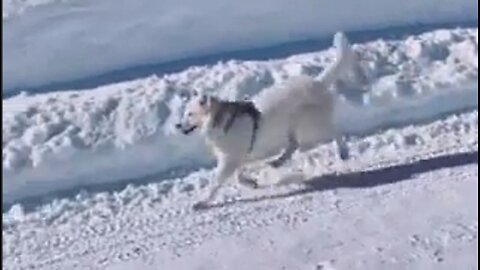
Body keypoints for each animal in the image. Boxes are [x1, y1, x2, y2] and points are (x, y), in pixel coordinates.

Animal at [177, 31, 360, 209]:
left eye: (190, 114)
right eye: (185, 113)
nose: (177, 125)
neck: (223, 121)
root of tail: (318, 82)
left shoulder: (229, 160)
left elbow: (216, 183)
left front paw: (202, 202)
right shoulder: (235, 158)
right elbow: (238, 176)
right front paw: (250, 182)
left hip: (309, 123)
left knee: (335, 131)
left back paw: (343, 151)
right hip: (294, 126)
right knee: (294, 145)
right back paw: (277, 162)